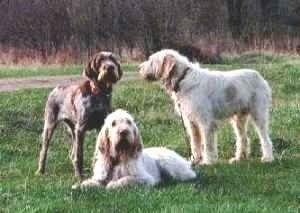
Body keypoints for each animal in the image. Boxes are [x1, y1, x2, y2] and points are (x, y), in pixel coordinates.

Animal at [138, 49, 274, 165]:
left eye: (151, 60)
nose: (139, 68)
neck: (182, 78)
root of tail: (260, 77)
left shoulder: (205, 122)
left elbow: (207, 144)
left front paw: (208, 161)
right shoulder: (191, 123)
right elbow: (195, 143)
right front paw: (195, 160)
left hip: (259, 115)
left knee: (265, 138)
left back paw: (267, 157)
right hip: (238, 119)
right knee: (243, 138)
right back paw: (239, 158)